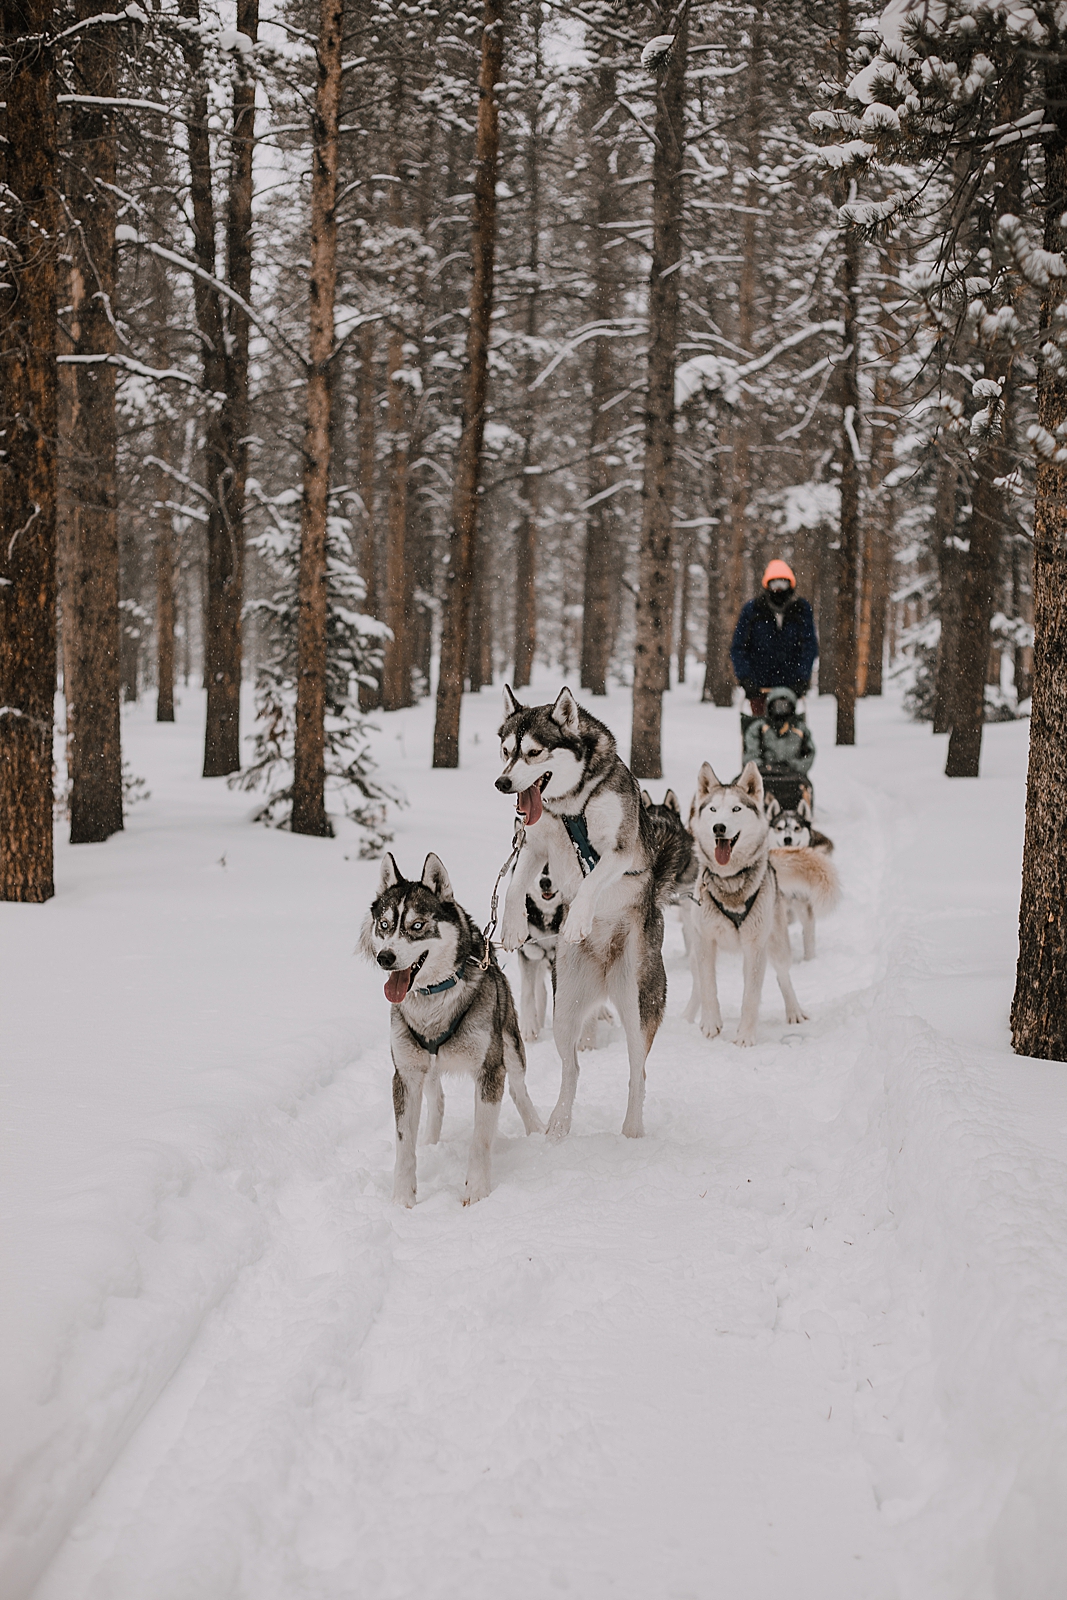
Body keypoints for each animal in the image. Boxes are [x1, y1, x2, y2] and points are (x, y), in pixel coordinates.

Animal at [363, 851, 543, 1203]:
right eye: (385, 925)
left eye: (417, 926)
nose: (385, 957)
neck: (434, 999)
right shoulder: (405, 1074)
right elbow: (404, 1143)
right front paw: (402, 1199)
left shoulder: (490, 1070)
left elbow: (481, 1139)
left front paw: (477, 1191)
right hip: (426, 1064)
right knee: (437, 1097)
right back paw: (430, 1140)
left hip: (510, 1046)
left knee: (519, 1088)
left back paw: (537, 1130)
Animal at [495, 684, 675, 1139]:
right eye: (505, 751)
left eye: (534, 752)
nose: (502, 782)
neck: (570, 805)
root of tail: (605, 976)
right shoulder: (534, 844)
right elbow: (514, 886)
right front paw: (512, 926)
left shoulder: (621, 851)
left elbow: (592, 882)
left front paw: (577, 917)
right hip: (565, 1008)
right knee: (571, 1067)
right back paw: (559, 1121)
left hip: (636, 1005)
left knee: (637, 1071)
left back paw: (632, 1127)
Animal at [684, 761, 809, 1049]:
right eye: (713, 809)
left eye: (736, 809)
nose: (719, 827)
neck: (730, 881)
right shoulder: (705, 941)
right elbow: (707, 986)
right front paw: (710, 1023)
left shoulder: (755, 948)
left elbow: (750, 996)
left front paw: (745, 1036)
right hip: (696, 951)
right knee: (697, 982)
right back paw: (689, 1015)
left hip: (775, 944)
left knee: (783, 976)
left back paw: (794, 1011)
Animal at [767, 800, 844, 960]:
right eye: (779, 828)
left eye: (797, 828)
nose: (787, 839)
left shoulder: (805, 907)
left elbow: (809, 937)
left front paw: (809, 960)